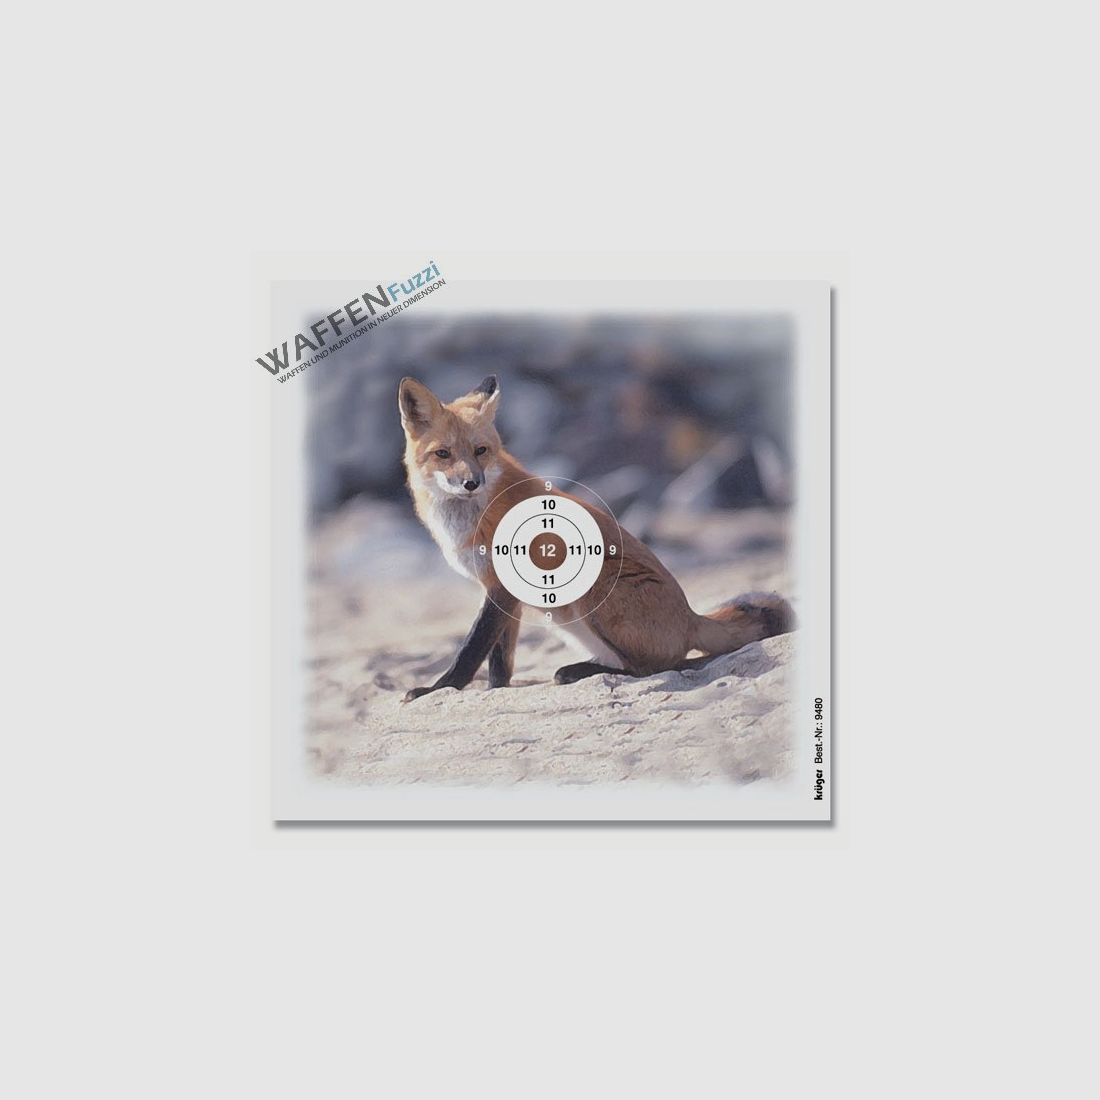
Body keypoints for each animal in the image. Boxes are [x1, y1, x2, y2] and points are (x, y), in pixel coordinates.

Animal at [398, 374, 793, 702]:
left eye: (480, 451)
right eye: (443, 454)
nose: (471, 483)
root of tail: (691, 617)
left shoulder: (500, 585)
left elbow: (472, 649)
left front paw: (438, 689)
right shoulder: (500, 589)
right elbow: (500, 659)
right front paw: (496, 691)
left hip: (596, 582)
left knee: (653, 667)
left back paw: (577, 672)